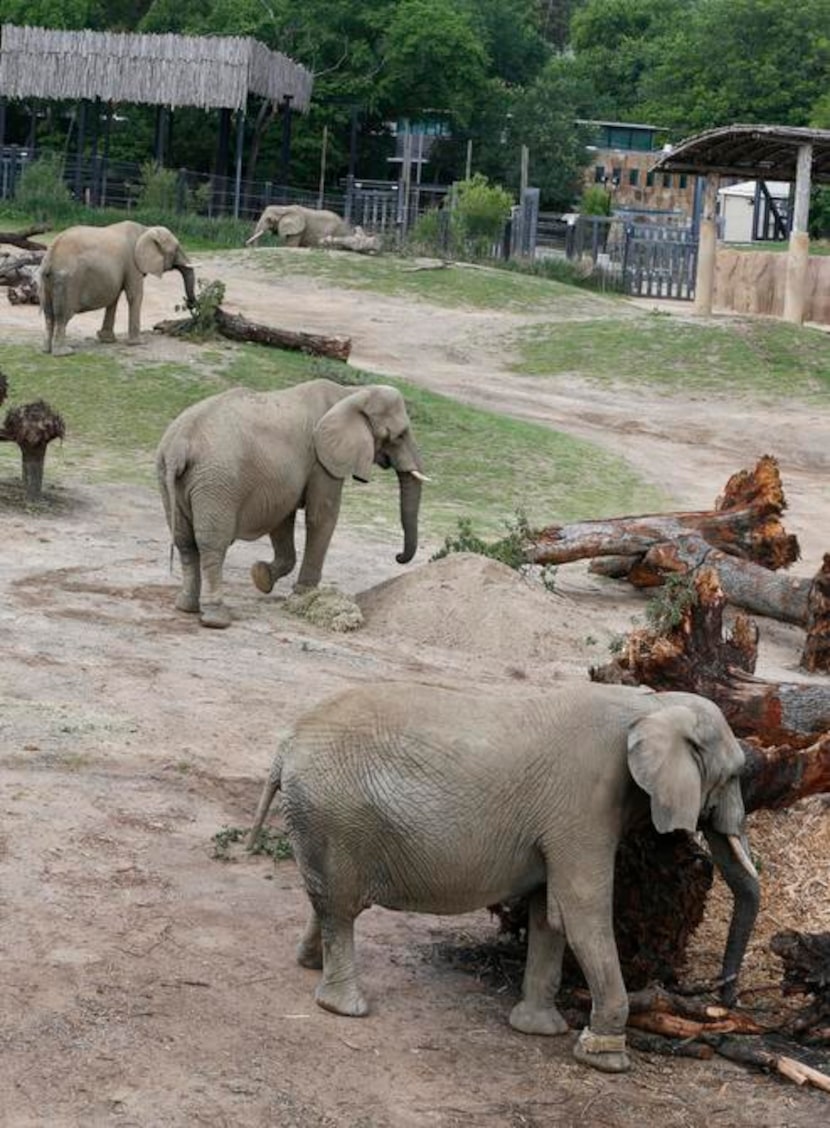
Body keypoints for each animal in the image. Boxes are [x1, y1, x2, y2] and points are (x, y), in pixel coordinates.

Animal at [39, 221, 195, 356]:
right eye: (176, 249)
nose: (189, 304)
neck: (145, 229)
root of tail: (51, 255)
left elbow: (114, 298)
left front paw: (107, 340)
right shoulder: (132, 263)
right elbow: (135, 295)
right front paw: (138, 344)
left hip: (47, 280)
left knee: (48, 315)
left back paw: (46, 350)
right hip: (67, 282)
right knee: (62, 316)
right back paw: (64, 353)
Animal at [156, 376, 428, 627]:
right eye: (399, 435)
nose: (398, 557)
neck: (352, 393)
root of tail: (180, 444)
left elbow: (282, 518)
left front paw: (262, 577)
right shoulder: (322, 460)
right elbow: (322, 516)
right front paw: (306, 595)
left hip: (174, 477)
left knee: (185, 542)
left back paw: (187, 607)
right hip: (217, 481)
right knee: (212, 544)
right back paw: (216, 619)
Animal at [245, 676, 757, 1073]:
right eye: (735, 775)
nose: (723, 998)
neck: (652, 705)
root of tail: (286, 743)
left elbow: (549, 913)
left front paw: (539, 1030)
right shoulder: (585, 805)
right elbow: (581, 911)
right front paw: (606, 1059)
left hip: (323, 816)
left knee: (327, 899)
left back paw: (311, 964)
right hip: (335, 813)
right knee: (342, 906)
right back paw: (345, 1008)